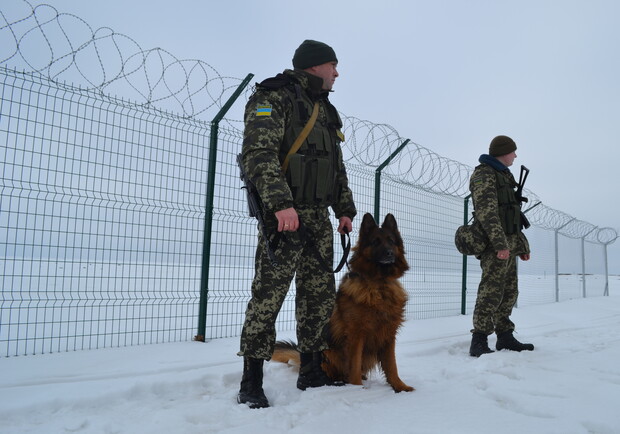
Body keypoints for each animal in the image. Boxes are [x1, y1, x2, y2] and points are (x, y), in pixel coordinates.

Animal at [274, 214, 414, 394]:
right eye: (375, 242)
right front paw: (356, 389)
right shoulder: (356, 335)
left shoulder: (388, 334)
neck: (379, 284)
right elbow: (354, 365)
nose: (389, 253)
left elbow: (391, 366)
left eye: (391, 241)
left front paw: (399, 387)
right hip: (329, 353)